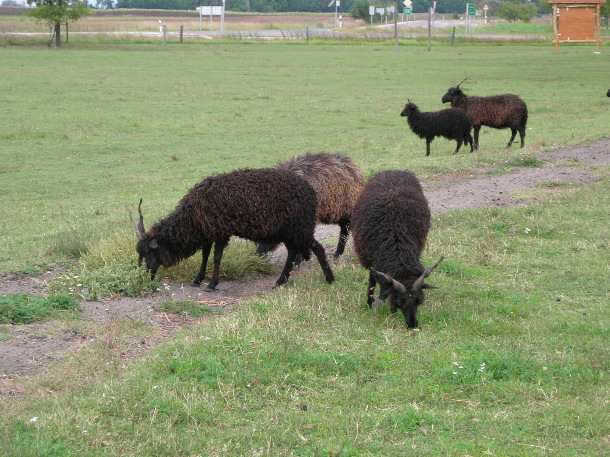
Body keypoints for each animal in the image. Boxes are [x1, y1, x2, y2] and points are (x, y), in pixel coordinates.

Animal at [130, 167, 334, 292]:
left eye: (147, 252)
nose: (145, 275)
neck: (193, 215)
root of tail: (311, 192)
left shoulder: (221, 232)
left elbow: (216, 257)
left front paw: (212, 284)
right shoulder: (208, 232)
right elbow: (205, 256)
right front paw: (197, 280)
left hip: (300, 227)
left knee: (318, 248)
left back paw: (330, 279)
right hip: (288, 231)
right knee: (292, 252)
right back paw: (280, 282)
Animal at [346, 168, 442, 328]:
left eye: (419, 301)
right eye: (399, 302)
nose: (412, 325)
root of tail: (394, 170)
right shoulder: (371, 260)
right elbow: (372, 283)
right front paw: (370, 303)